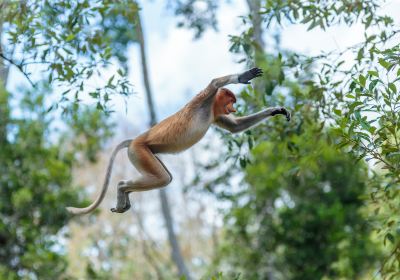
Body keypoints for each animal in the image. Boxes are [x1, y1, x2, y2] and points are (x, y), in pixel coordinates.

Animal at [67, 67, 290, 214]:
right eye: (231, 101)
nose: (233, 109)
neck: (210, 108)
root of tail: (136, 139)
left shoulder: (215, 114)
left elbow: (235, 128)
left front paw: (276, 110)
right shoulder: (202, 101)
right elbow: (214, 83)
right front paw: (243, 76)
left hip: (146, 153)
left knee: (165, 177)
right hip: (139, 151)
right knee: (163, 178)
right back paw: (122, 187)